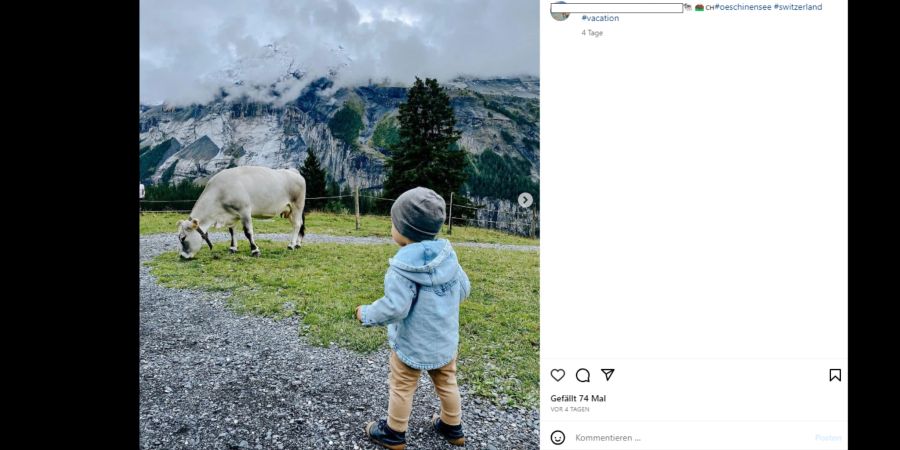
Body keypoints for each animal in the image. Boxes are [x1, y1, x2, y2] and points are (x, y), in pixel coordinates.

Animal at [178, 166, 308, 258]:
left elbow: (248, 232)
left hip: (297, 205)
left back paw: (291, 245)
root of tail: (293, 171)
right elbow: (232, 231)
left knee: (297, 224)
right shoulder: (231, 215)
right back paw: (298, 243)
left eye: (183, 238)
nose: (182, 256)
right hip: (289, 210)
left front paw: (255, 250)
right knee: (300, 224)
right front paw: (233, 248)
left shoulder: (244, 211)